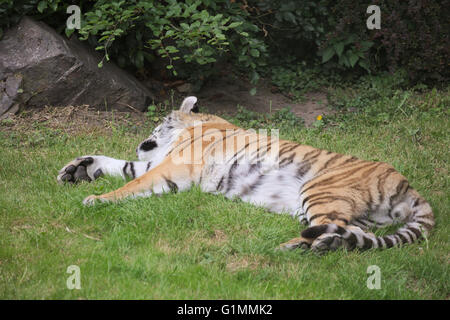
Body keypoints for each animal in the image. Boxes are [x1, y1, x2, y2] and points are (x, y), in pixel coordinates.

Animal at [56, 95, 432, 252]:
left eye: (158, 123)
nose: (142, 140)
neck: (200, 124)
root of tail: (410, 188)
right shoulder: (159, 163)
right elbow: (125, 166)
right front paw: (78, 169)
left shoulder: (172, 167)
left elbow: (133, 181)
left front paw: (94, 198)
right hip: (346, 214)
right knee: (350, 232)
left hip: (321, 190)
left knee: (336, 229)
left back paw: (291, 247)